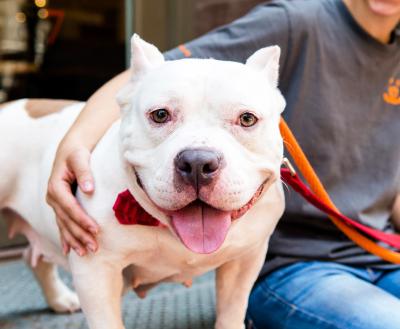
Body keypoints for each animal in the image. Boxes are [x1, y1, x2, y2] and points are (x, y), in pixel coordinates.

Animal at [0, 36, 288, 328]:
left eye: (247, 118)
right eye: (160, 115)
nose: (197, 162)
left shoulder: (245, 260)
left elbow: (231, 311)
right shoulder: (96, 270)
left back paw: (60, 299)